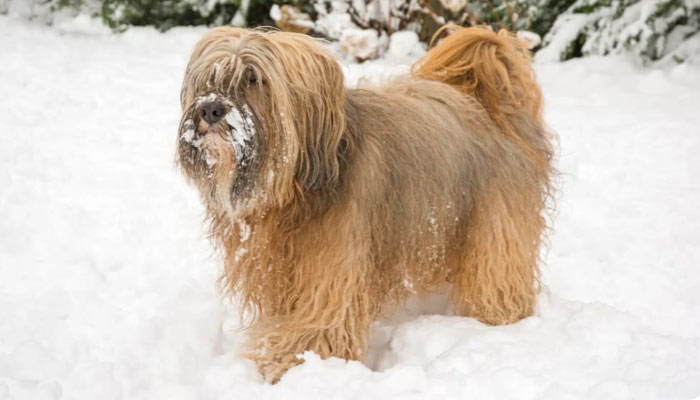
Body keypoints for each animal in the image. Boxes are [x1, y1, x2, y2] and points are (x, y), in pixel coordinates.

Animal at [178, 25, 556, 382]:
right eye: (210, 79)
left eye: (254, 78)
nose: (210, 109)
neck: (292, 192)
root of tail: (492, 103)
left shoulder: (333, 272)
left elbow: (320, 324)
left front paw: (287, 364)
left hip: (495, 229)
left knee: (497, 278)